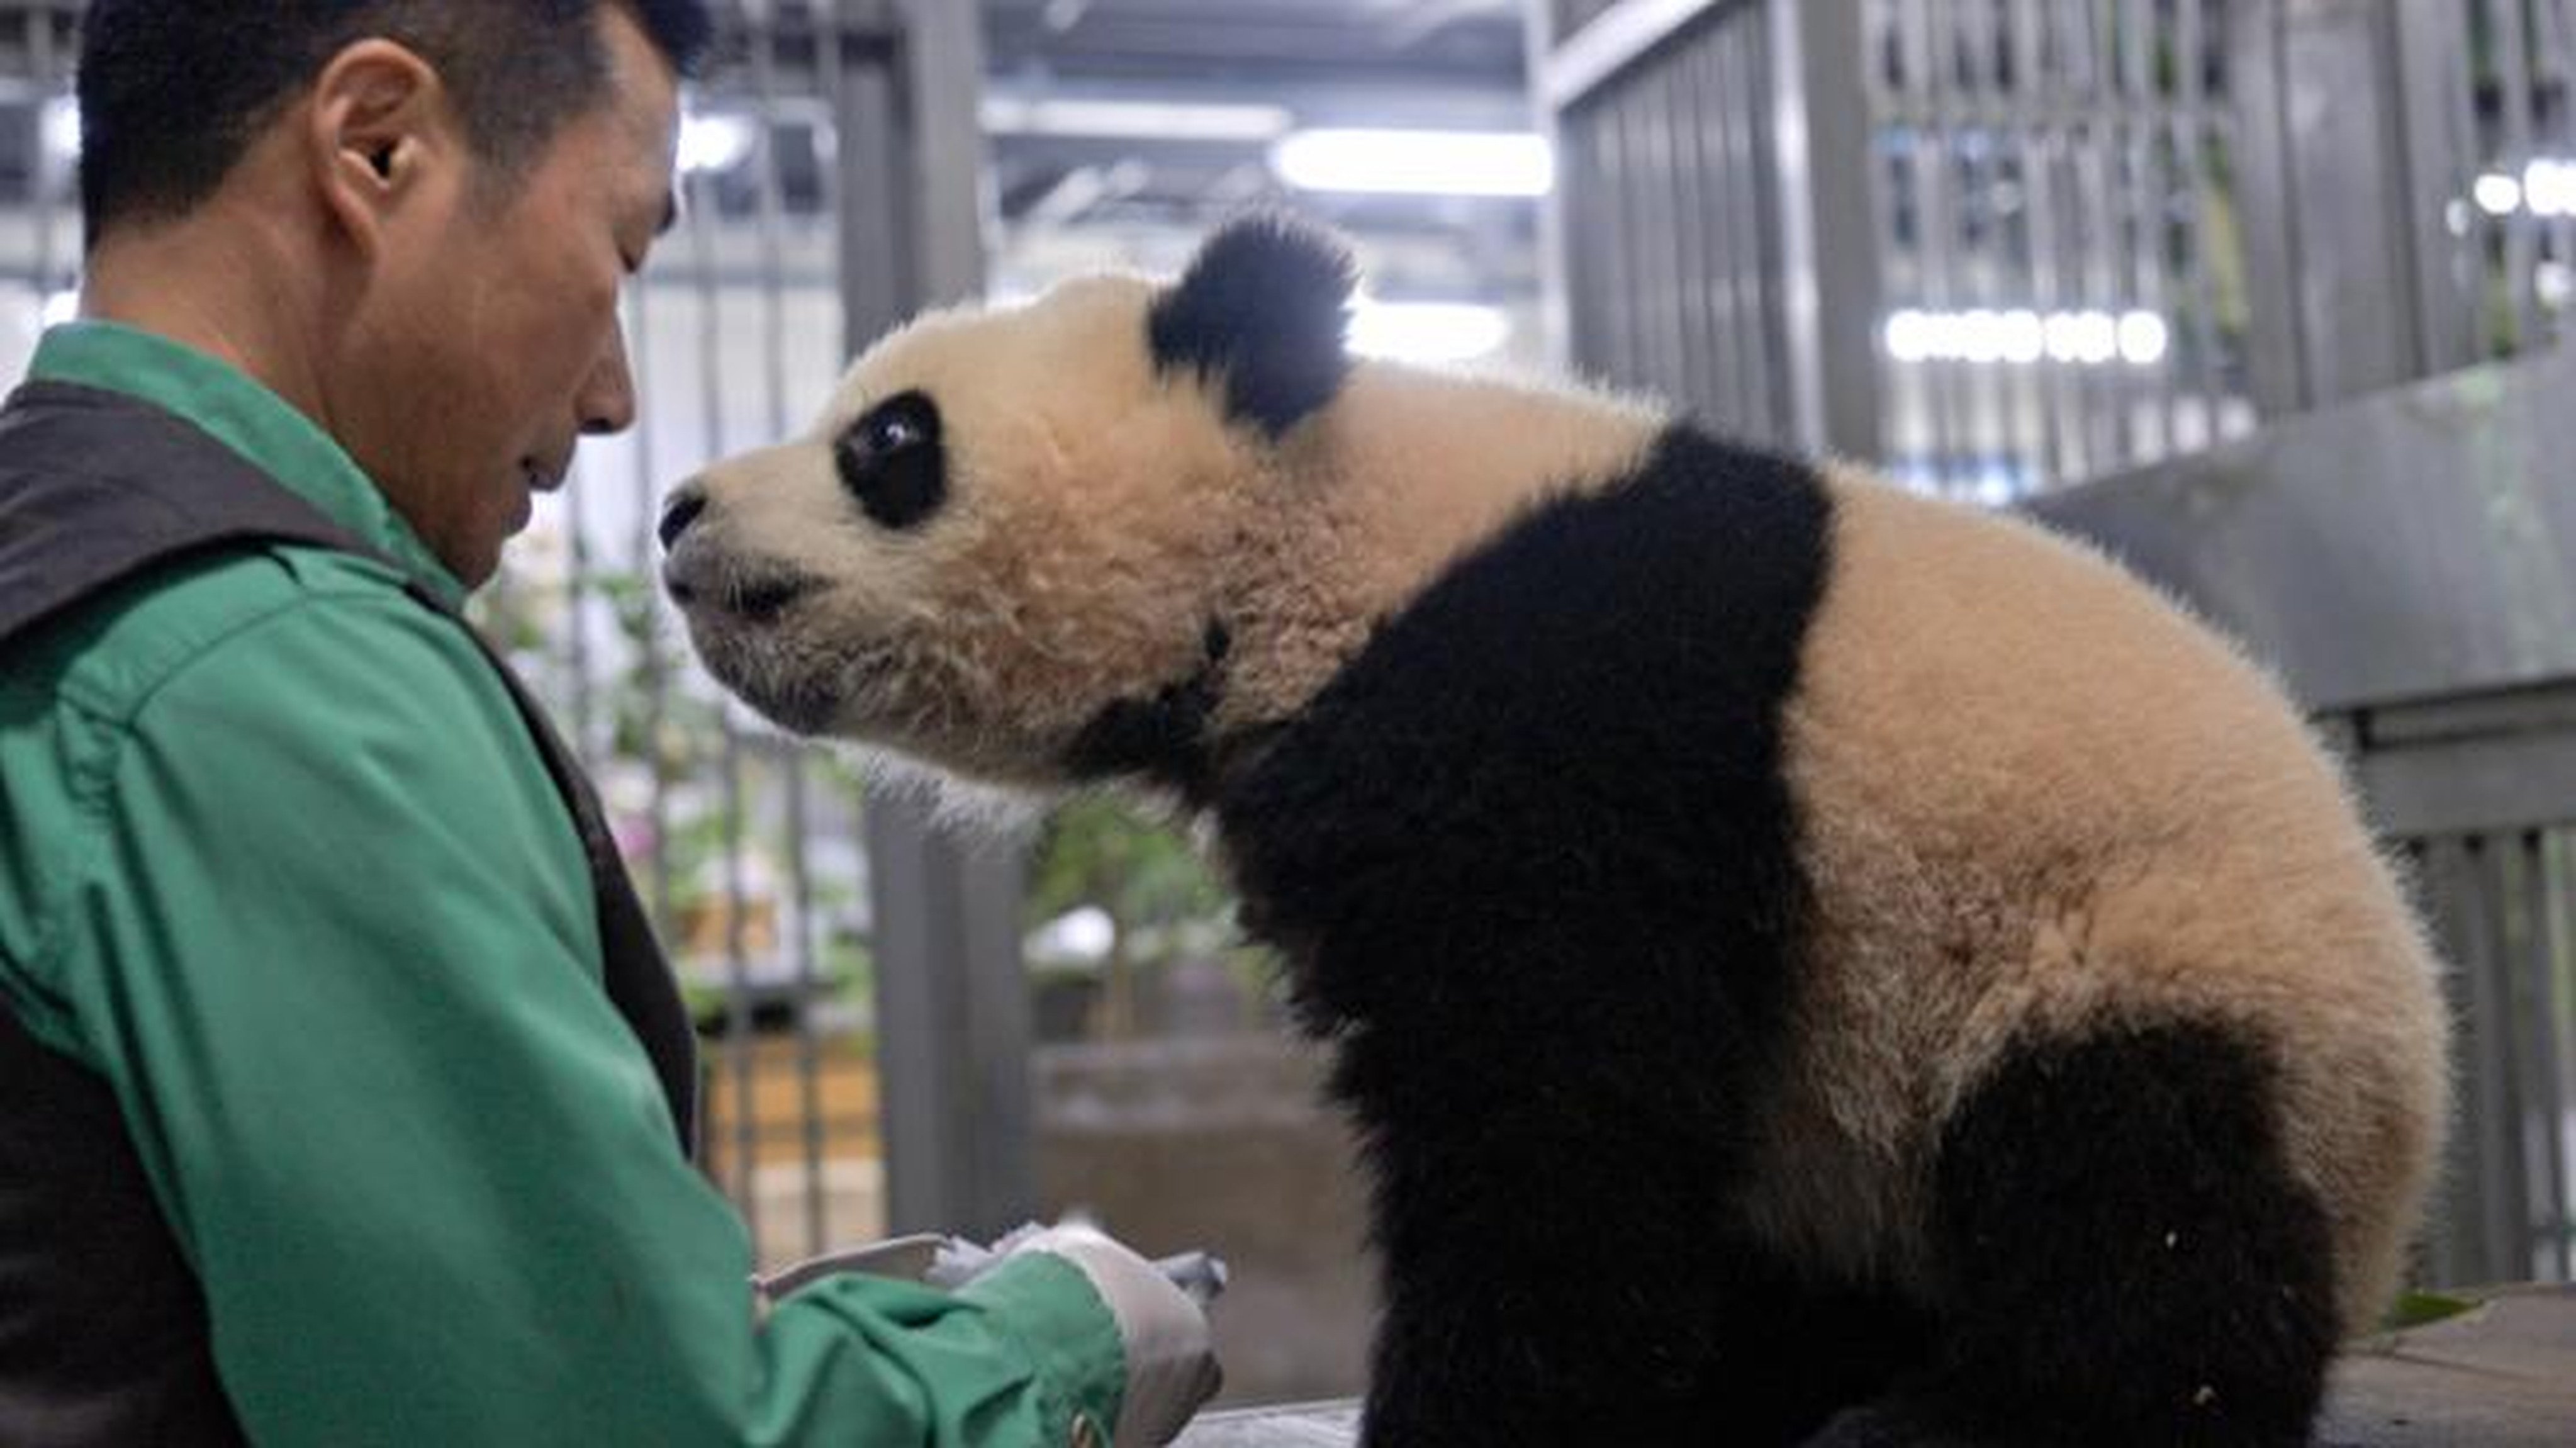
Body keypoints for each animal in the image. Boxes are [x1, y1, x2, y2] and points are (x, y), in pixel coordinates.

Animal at [659, 213, 2452, 1442]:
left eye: (887, 441)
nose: (679, 510)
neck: (1314, 538)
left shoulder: (1565, 709)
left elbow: (1554, 1097)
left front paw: (1474, 1404)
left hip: (2146, 951)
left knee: (2134, 1184)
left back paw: (1969, 1413)